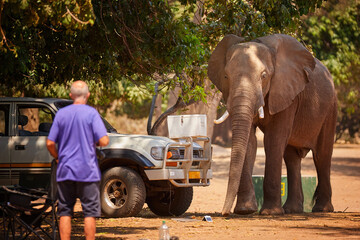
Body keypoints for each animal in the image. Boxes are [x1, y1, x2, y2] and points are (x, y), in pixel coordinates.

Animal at [208, 32, 338, 215]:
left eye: (264, 76)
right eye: (226, 76)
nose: (223, 213)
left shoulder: (286, 92)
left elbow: (274, 140)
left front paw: (270, 213)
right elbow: (249, 142)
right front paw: (245, 210)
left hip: (330, 107)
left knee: (322, 155)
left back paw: (322, 210)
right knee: (292, 157)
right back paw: (292, 210)